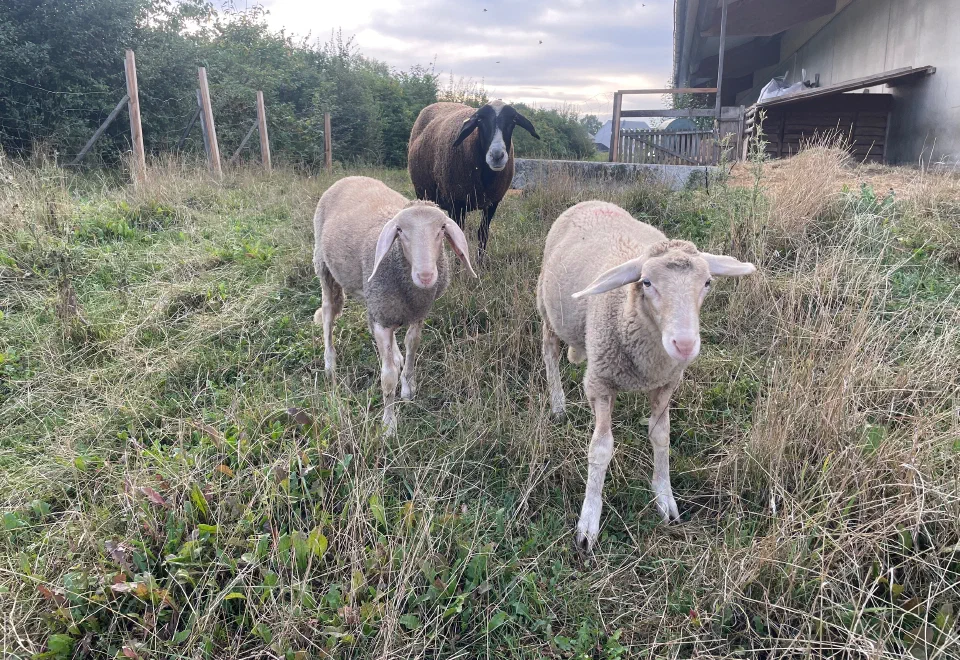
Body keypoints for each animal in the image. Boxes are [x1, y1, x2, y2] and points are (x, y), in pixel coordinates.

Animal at [312, 176, 477, 435]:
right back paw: (330, 364)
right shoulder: (382, 317)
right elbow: (387, 376)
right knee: (329, 313)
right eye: (399, 231)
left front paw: (408, 387)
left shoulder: (416, 314)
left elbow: (412, 346)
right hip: (325, 267)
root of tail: (349, 177)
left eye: (442, 228)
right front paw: (389, 424)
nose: (425, 276)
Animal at [408, 100, 540, 261]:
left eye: (513, 120)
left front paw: (480, 263)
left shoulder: (492, 203)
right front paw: (459, 266)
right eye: (480, 120)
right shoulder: (456, 202)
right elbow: (459, 235)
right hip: (423, 192)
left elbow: (483, 233)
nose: (497, 155)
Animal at [536, 201, 756, 552]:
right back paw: (558, 404)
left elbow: (661, 436)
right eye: (648, 282)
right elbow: (601, 449)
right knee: (550, 353)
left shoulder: (666, 383)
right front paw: (589, 520)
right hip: (547, 309)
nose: (685, 345)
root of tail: (592, 201)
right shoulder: (599, 383)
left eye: (708, 282)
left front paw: (665, 498)